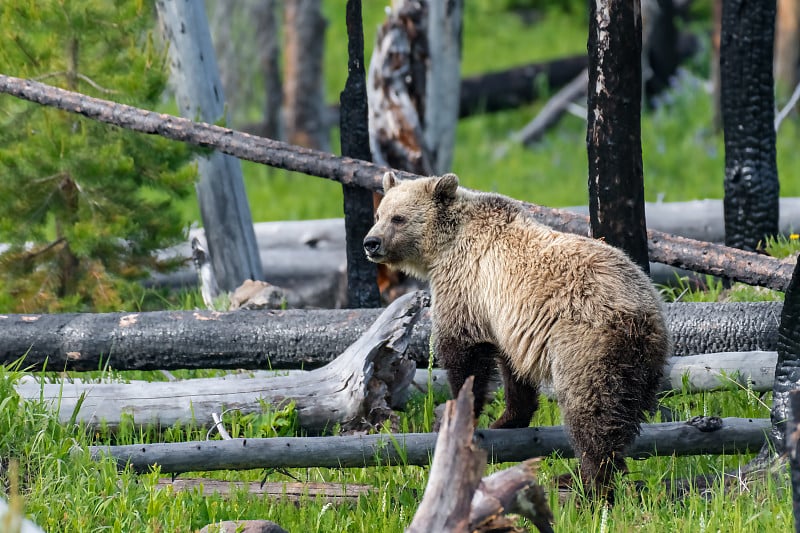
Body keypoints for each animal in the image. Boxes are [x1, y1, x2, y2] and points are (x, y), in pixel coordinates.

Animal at [362, 172, 668, 496]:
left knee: (591, 414)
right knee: (624, 415)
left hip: (587, 344)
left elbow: (464, 352)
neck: (445, 246)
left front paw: (461, 411)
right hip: (641, 364)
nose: (371, 243)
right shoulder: (510, 323)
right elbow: (513, 370)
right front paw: (507, 420)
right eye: (379, 214)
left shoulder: (466, 286)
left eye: (398, 218)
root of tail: (643, 314)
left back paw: (588, 481)